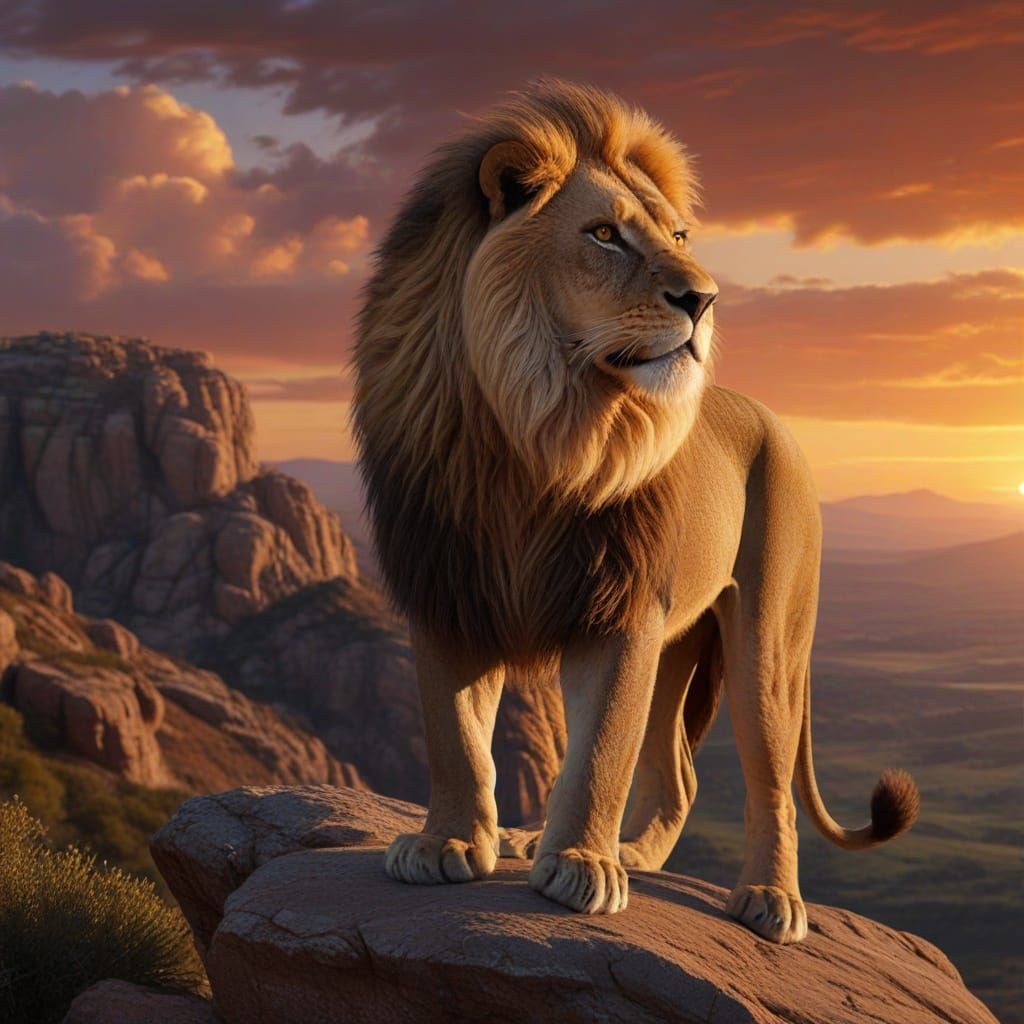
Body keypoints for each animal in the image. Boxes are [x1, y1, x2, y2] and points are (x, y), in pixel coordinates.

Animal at [352, 79, 919, 943]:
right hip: (681, 643)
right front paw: (447, 843)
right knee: (678, 776)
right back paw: (620, 853)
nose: (704, 297)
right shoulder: (449, 587)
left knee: (770, 784)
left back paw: (770, 901)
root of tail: (774, 419)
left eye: (678, 235)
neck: (537, 432)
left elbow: (599, 751)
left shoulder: (622, 607)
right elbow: (454, 736)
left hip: (765, 642)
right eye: (604, 234)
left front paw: (580, 868)